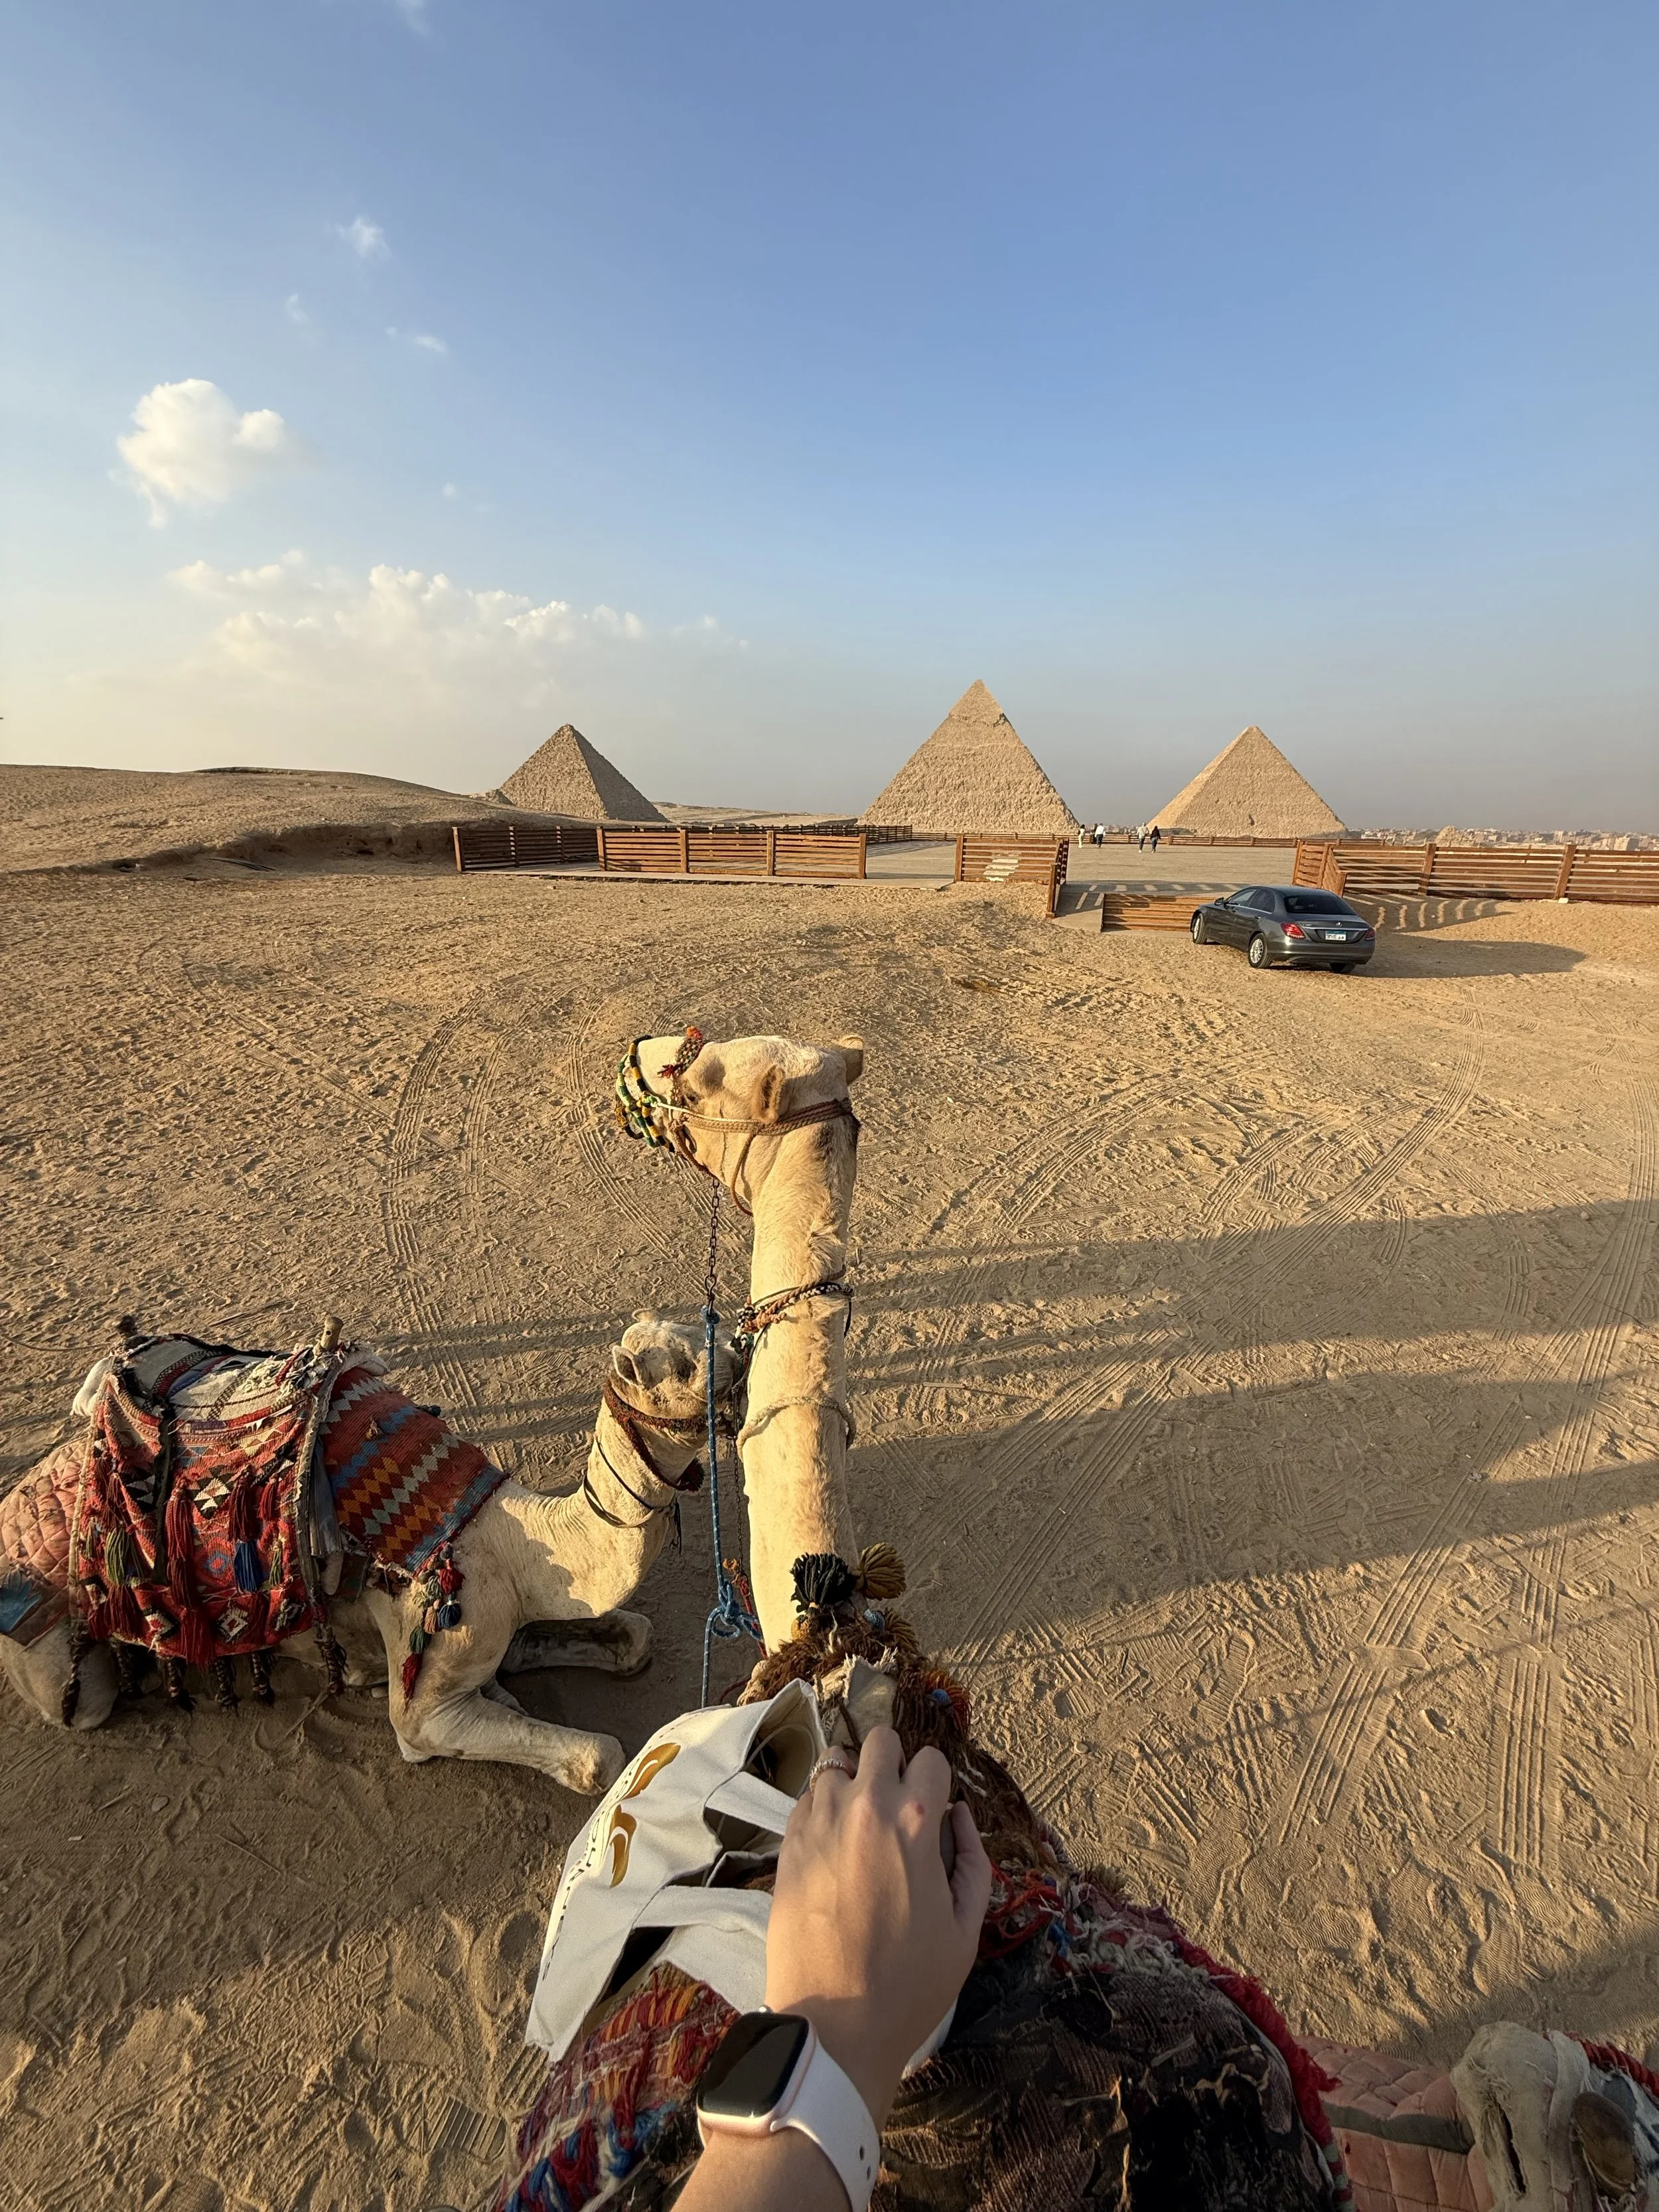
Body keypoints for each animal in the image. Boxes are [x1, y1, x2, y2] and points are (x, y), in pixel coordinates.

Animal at [0, 1311, 740, 1796]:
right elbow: (597, 1757)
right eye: (681, 1367)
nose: (738, 1346)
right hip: (60, 1667)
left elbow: (632, 1636)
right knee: (84, 1700)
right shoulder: (428, 1692)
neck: (513, 1542)